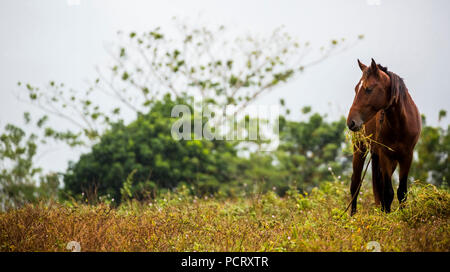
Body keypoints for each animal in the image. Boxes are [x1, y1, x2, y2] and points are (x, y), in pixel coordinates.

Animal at [348, 58, 422, 216]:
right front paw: (388, 218)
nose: (351, 122)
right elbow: (388, 192)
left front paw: (402, 215)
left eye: (368, 89)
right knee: (355, 183)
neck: (400, 124)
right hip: (360, 149)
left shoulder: (407, 156)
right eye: (356, 89)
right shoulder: (385, 155)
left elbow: (401, 191)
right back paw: (352, 216)